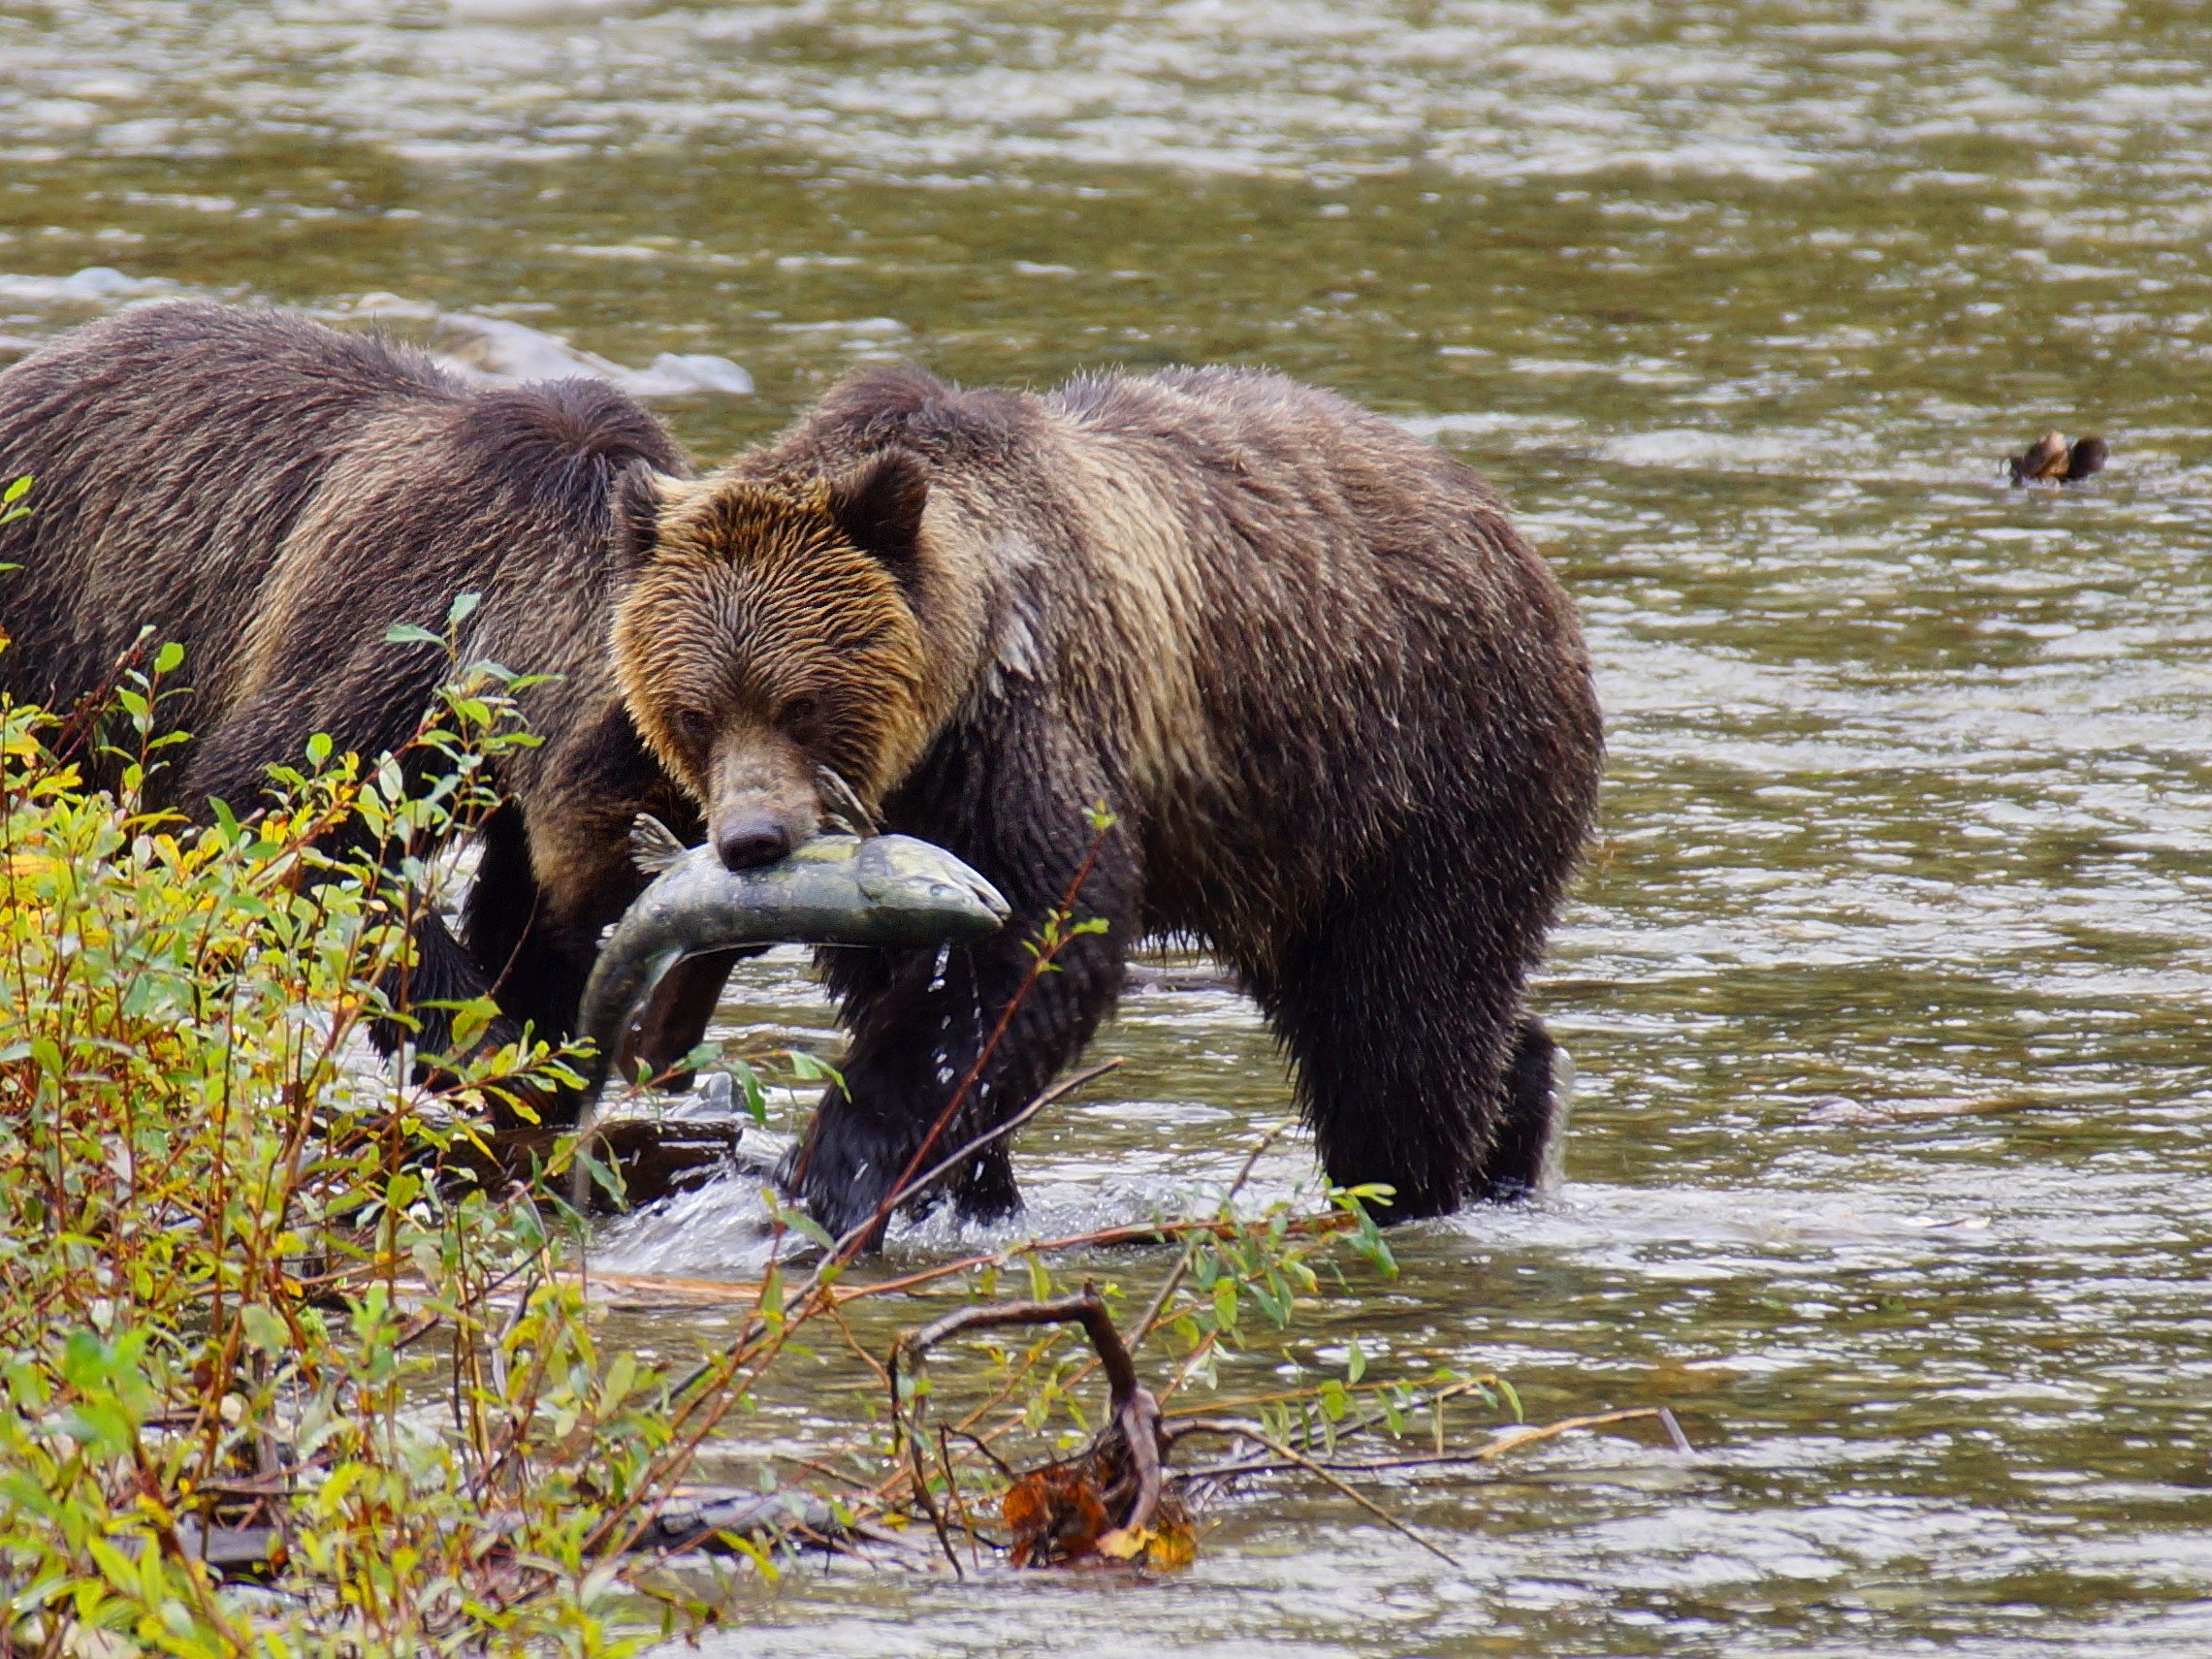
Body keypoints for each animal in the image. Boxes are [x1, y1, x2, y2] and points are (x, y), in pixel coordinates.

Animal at [0, 299, 760, 1086]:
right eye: (650, 897)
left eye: (746, 943)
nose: (665, 1056)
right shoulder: (398, 632)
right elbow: (286, 813)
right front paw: (471, 1035)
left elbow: (515, 911)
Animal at [610, 362, 1605, 1244]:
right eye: (695, 711)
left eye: (802, 703)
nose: (752, 839)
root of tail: (1512, 538)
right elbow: (894, 976)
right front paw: (970, 1184)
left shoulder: (1026, 726)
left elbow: (1037, 936)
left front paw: (835, 1170)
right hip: (1285, 843)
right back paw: (1519, 1115)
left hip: (1424, 767)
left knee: (1402, 1018)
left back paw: (1413, 1184)